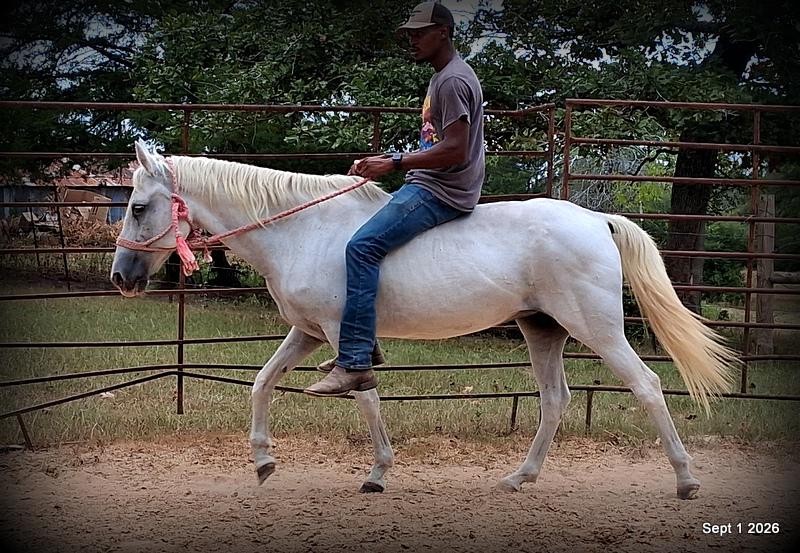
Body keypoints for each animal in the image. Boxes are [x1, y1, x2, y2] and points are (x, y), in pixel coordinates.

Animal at [111, 139, 737, 499]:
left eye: (138, 207)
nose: (121, 277)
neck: (301, 230)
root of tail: (595, 219)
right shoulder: (308, 333)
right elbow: (264, 382)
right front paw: (264, 461)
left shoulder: (341, 335)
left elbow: (363, 394)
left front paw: (377, 473)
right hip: (543, 330)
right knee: (555, 401)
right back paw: (520, 478)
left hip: (597, 329)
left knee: (647, 385)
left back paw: (685, 479)